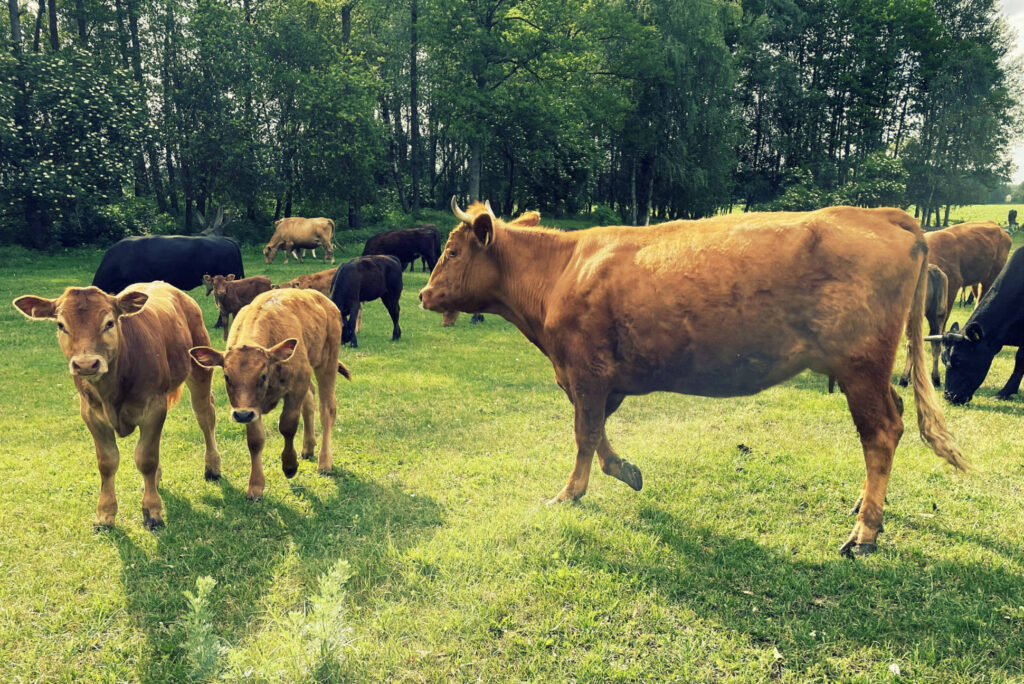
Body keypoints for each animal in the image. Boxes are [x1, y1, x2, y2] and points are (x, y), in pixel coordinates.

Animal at [13, 282, 221, 529]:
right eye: (61, 325)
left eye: (109, 323)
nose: (86, 364)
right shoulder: (91, 414)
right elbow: (108, 462)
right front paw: (105, 513)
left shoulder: (154, 407)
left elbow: (146, 458)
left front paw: (152, 511)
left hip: (200, 367)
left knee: (205, 415)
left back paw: (212, 467)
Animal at [189, 289, 350, 500]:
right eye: (226, 376)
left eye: (263, 375)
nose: (241, 415)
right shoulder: (251, 407)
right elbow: (255, 441)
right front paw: (255, 486)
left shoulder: (297, 385)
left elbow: (287, 426)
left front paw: (289, 465)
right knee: (310, 400)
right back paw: (308, 447)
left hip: (327, 363)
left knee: (327, 409)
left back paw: (324, 462)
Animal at [420, 199, 967, 556]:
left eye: (452, 252)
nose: (423, 294)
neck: (561, 271)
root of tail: (882, 214)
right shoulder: (600, 380)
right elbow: (597, 433)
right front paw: (626, 471)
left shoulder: (585, 372)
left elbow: (584, 434)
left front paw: (570, 493)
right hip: (867, 368)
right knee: (893, 422)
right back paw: (867, 507)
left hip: (860, 366)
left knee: (882, 432)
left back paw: (865, 531)